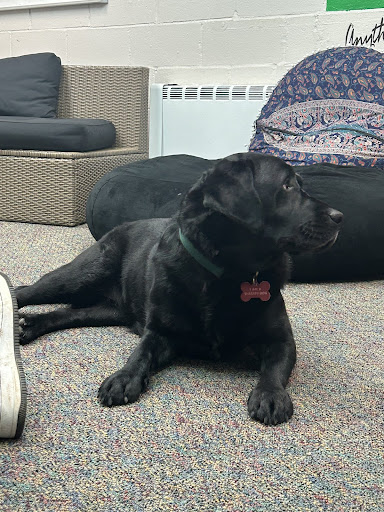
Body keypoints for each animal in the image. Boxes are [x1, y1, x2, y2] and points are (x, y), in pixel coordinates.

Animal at [16, 152, 344, 424]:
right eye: (287, 186)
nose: (340, 217)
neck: (227, 272)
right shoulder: (160, 332)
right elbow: (140, 353)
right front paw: (124, 376)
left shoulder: (280, 339)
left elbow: (274, 369)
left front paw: (270, 395)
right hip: (82, 273)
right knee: (27, 289)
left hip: (108, 310)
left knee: (68, 313)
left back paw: (30, 324)